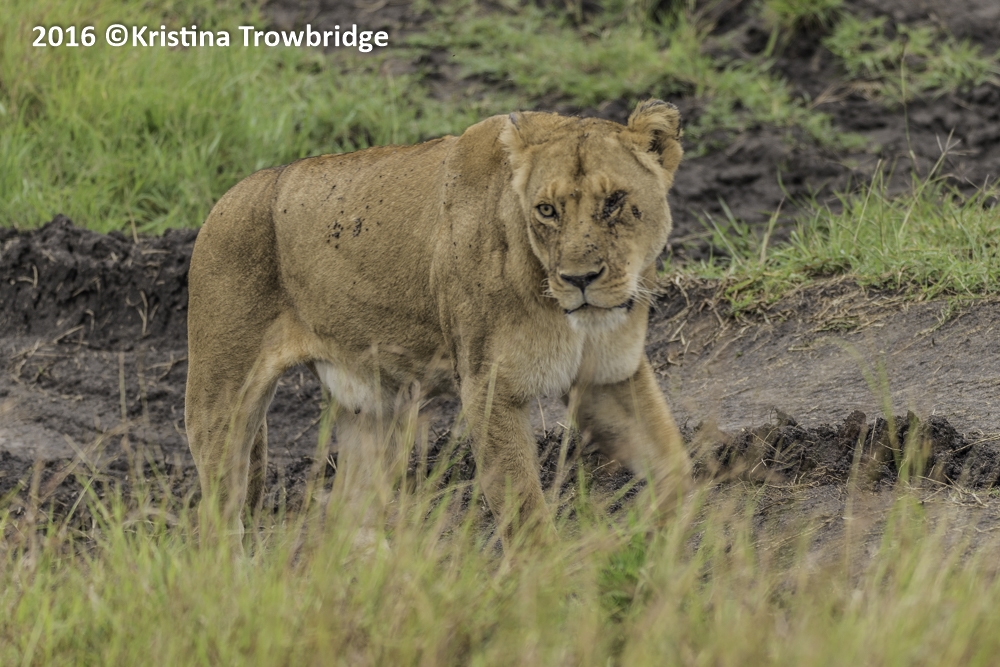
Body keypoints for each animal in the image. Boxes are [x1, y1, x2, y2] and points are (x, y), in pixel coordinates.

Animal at [185, 99, 693, 543]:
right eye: (547, 210)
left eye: (614, 201)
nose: (579, 278)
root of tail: (228, 197)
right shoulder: (490, 387)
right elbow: (525, 513)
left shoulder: (609, 375)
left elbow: (674, 465)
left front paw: (667, 550)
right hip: (221, 401)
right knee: (218, 518)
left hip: (374, 406)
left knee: (351, 513)